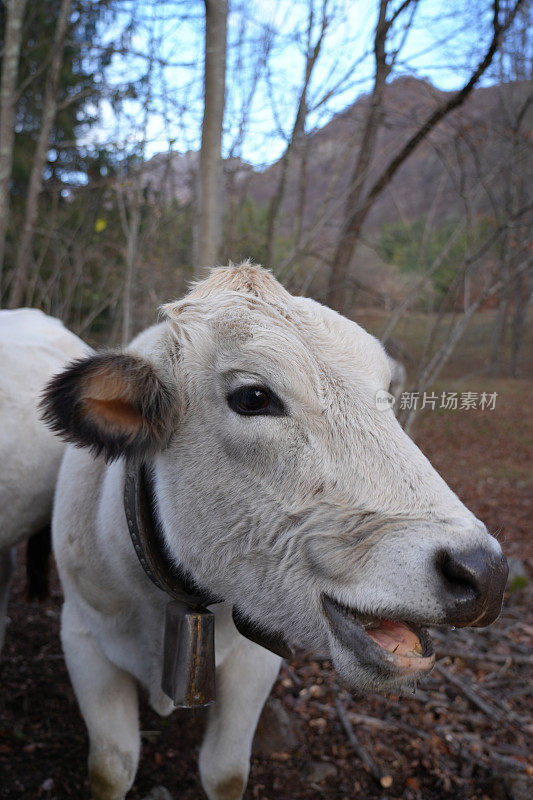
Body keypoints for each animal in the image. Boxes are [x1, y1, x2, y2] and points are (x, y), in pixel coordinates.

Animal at [42, 266, 508, 800]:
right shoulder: (82, 637)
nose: (484, 571)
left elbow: (225, 772)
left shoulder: (254, 662)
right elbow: (111, 768)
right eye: (253, 397)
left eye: (387, 396)